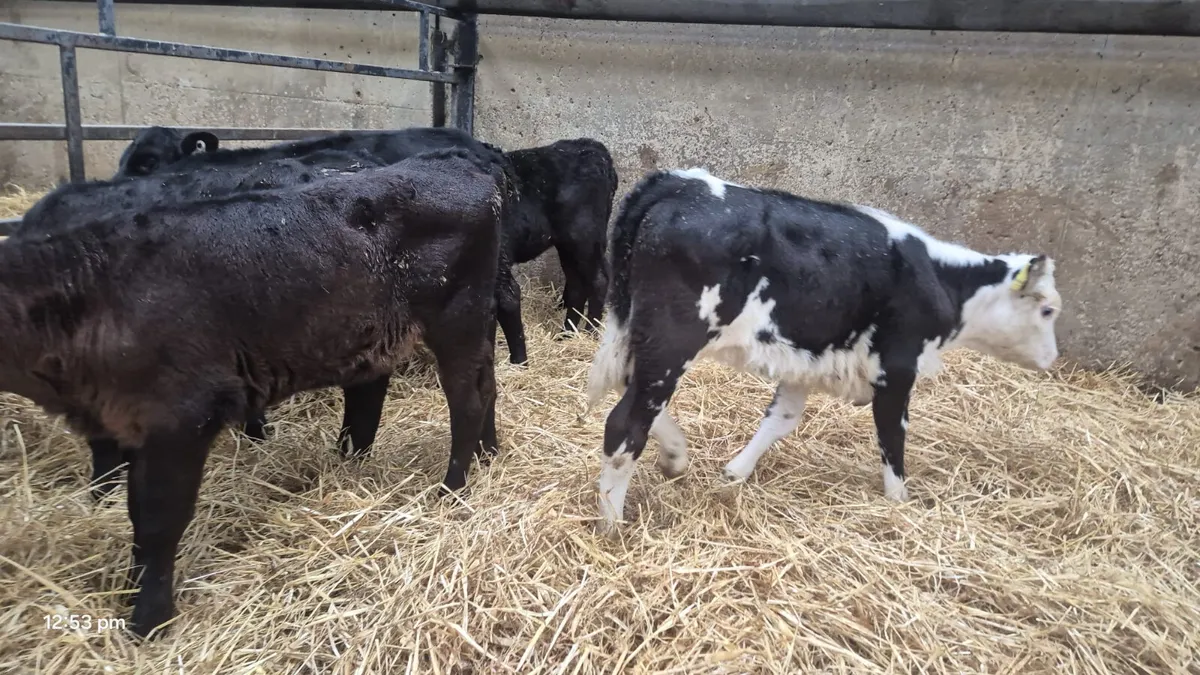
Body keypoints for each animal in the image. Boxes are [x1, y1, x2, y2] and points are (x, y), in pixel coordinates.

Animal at [503, 138, 618, 334]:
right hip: (568, 245)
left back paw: (589, 332)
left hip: (584, 239)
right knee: (577, 286)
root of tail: (595, 148)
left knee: (599, 280)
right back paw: (566, 334)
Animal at [585, 168, 1063, 537]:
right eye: (1048, 310)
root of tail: (676, 182)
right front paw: (899, 500)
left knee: (631, 390)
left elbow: (780, 420)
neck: (940, 278)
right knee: (626, 423)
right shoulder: (896, 367)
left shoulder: (805, 366)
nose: (1052, 360)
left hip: (640, 332)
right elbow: (892, 436)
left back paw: (675, 456)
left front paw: (736, 472)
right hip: (673, 339)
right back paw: (613, 524)